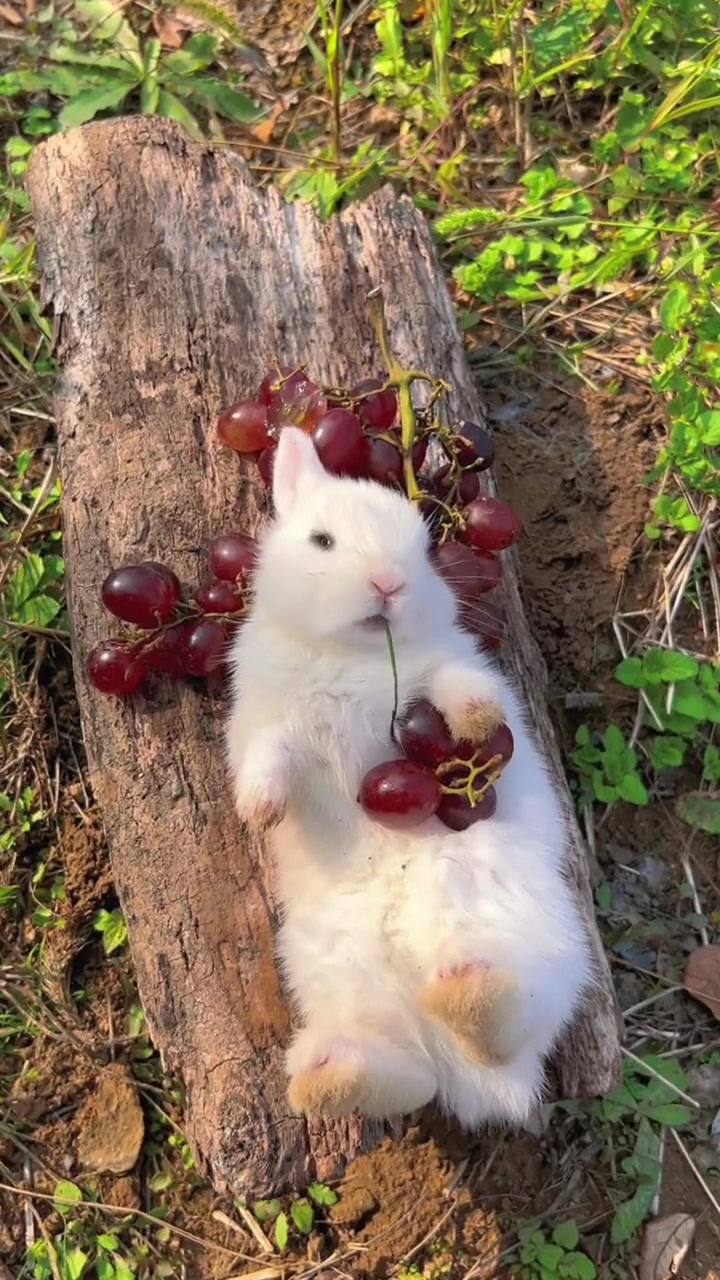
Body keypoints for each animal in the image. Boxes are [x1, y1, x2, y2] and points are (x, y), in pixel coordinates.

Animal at [226, 427, 591, 1131]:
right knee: (409, 1079)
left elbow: (461, 688)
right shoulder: (272, 725)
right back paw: (327, 1078)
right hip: (339, 979)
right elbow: (271, 757)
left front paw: (476, 722)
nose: (388, 583)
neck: (351, 654)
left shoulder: (443, 668)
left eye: (424, 549)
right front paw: (262, 809)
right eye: (321, 541)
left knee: (510, 1028)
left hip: (542, 944)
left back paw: (469, 997)